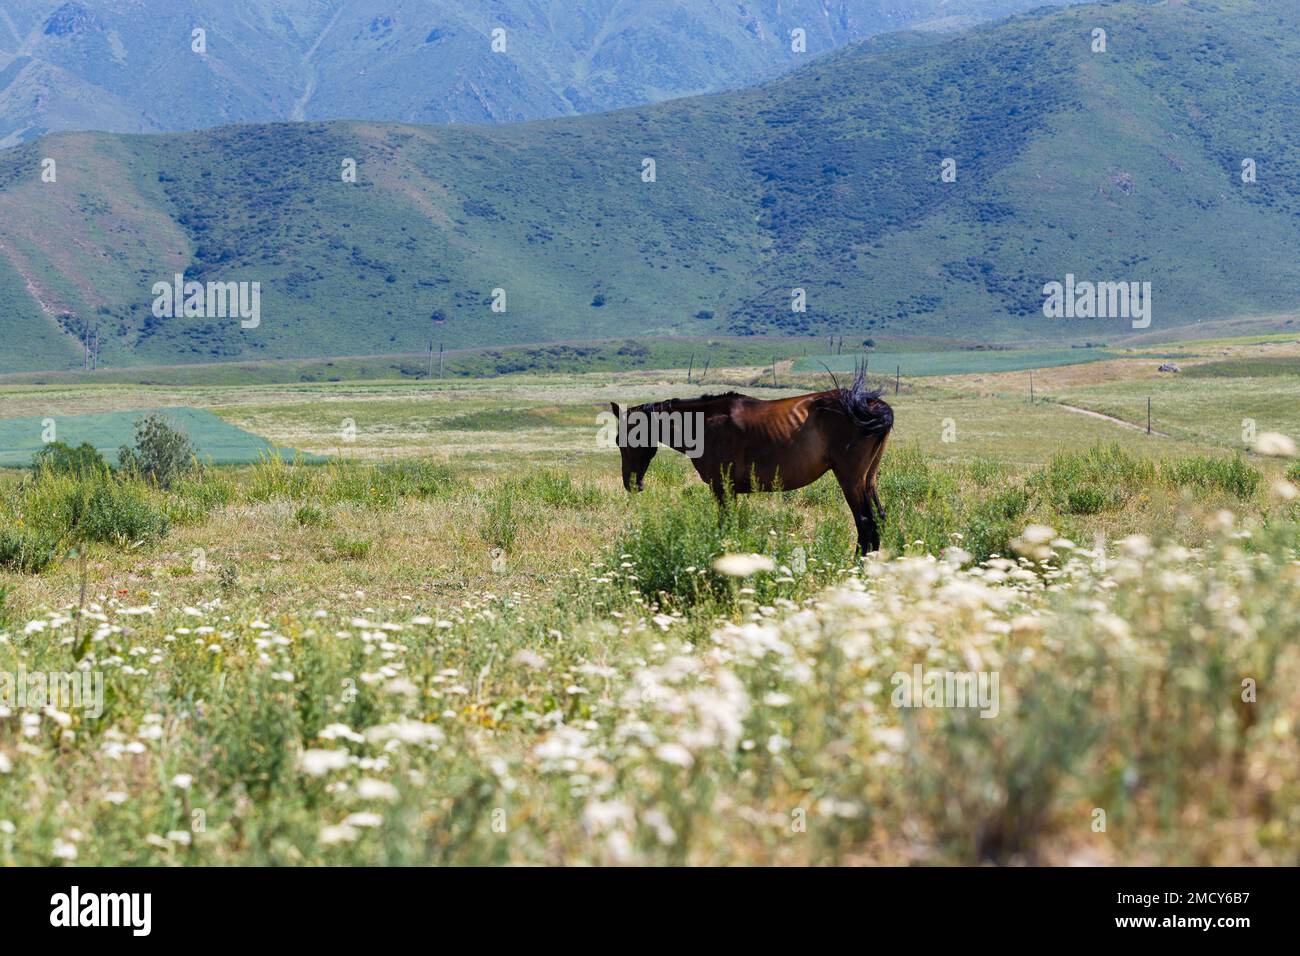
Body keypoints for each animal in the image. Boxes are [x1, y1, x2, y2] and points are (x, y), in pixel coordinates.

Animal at [611, 368, 893, 554]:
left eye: (624, 439)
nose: (631, 484)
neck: (706, 424)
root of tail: (868, 404)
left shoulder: (721, 488)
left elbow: (725, 525)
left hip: (850, 480)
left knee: (865, 522)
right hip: (868, 478)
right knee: (877, 519)